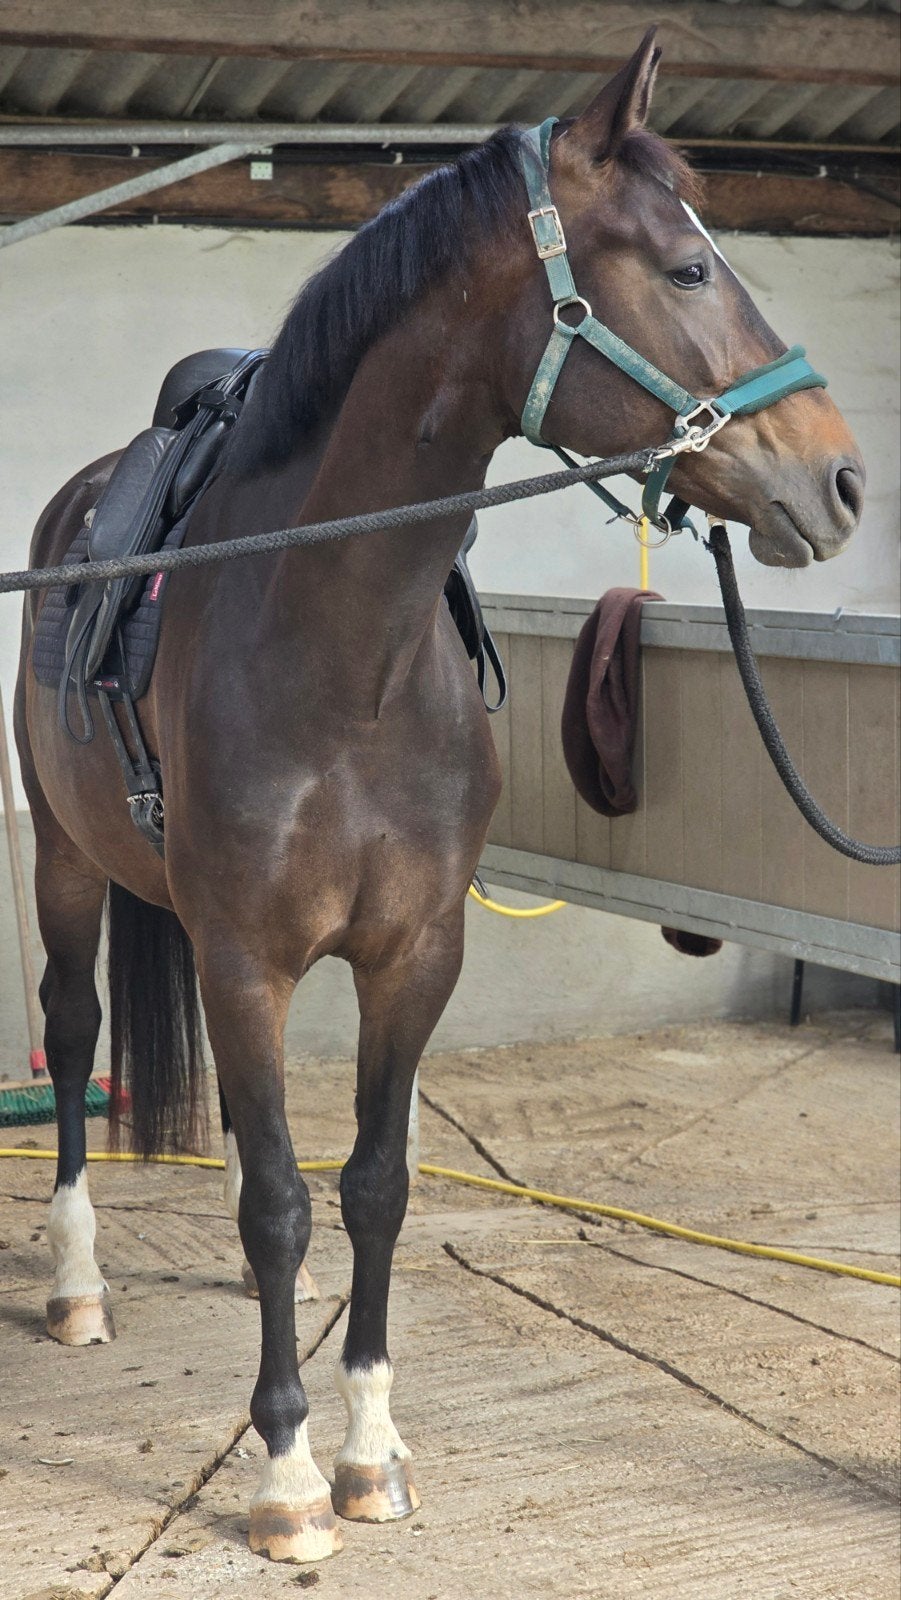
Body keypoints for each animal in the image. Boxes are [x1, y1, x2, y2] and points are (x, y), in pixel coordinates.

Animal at [13, 31, 864, 1565]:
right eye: (687, 268)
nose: (838, 480)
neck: (341, 642)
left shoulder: (417, 952)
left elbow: (368, 1187)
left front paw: (366, 1449)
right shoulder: (243, 955)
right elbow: (282, 1201)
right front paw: (287, 1476)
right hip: (63, 860)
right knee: (73, 1029)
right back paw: (76, 1286)